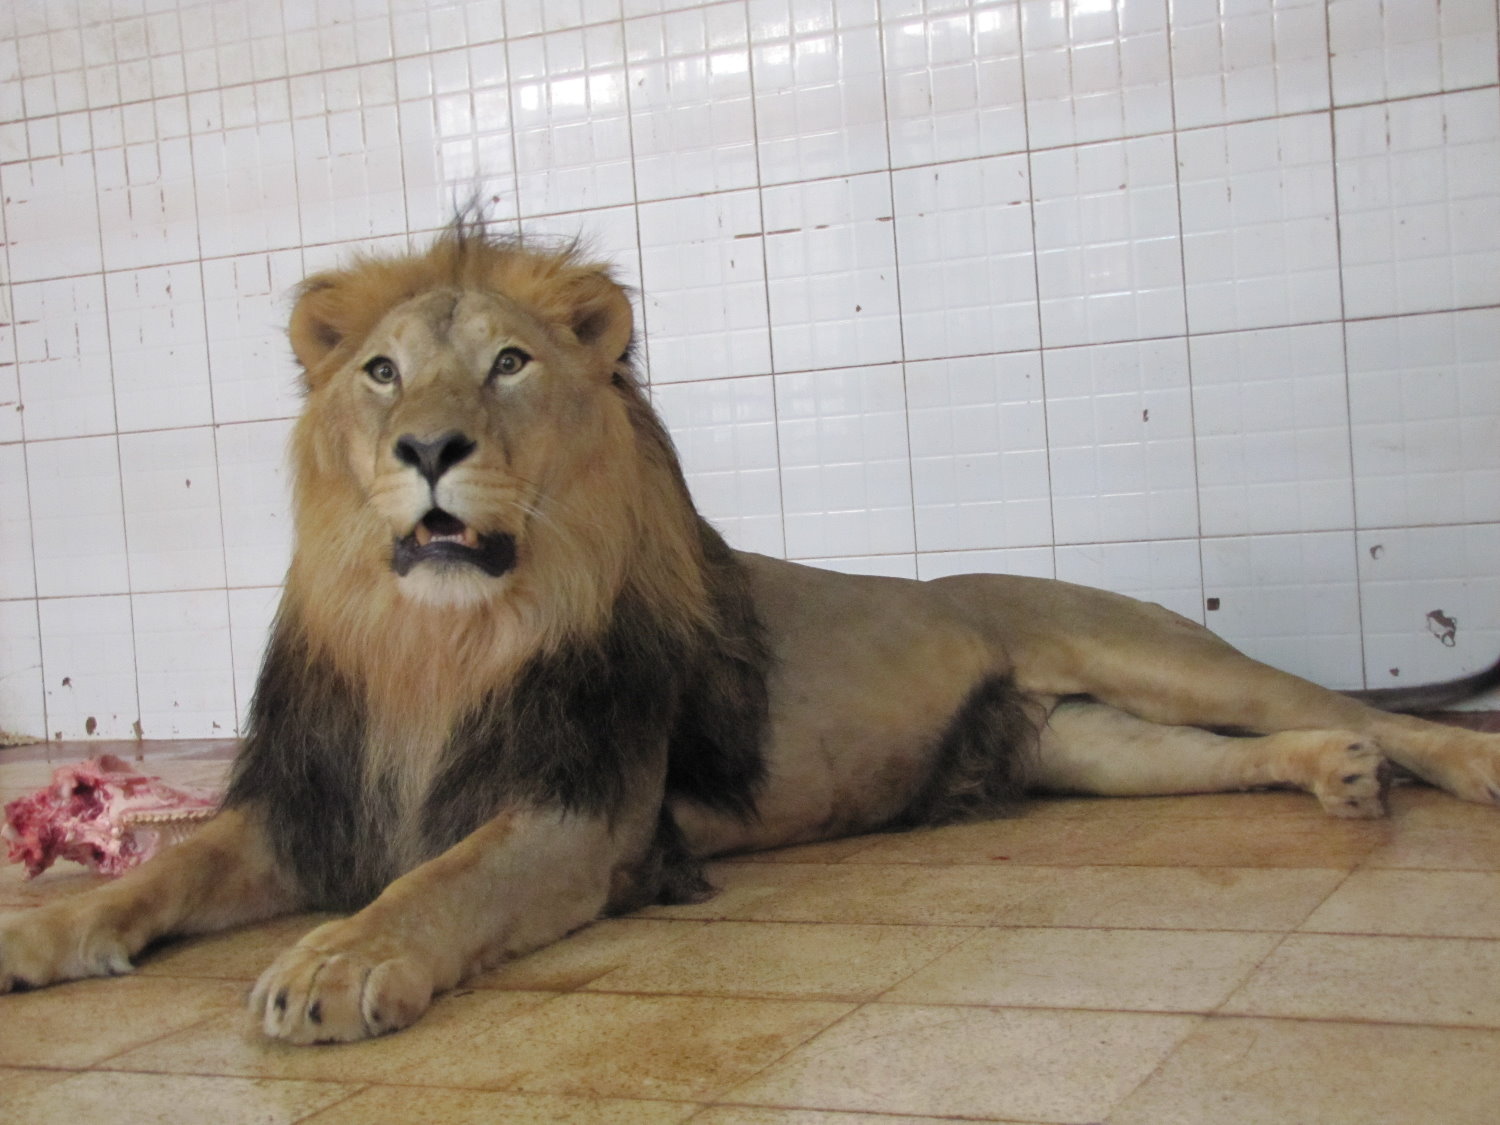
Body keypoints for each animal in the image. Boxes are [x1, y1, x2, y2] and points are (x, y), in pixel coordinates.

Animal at [3, 221, 1499, 1044]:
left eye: (508, 363)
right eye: (380, 371)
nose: (429, 448)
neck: (439, 641)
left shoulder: (579, 816)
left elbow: (441, 883)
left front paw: (340, 961)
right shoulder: (309, 805)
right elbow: (159, 874)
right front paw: (43, 932)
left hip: (1155, 653)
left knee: (1351, 702)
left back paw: (1452, 764)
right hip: (1097, 750)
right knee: (1259, 750)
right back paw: (1334, 780)